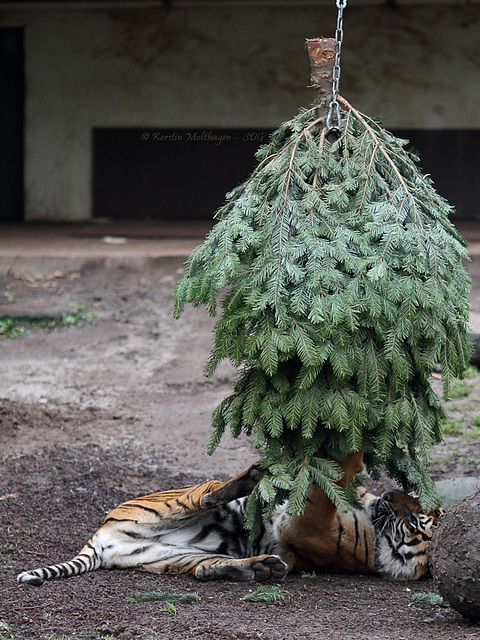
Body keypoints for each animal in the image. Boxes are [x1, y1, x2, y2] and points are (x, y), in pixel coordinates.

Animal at [15, 450, 442, 584]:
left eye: (415, 525)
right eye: (420, 511)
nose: (391, 497)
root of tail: (102, 540)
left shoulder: (309, 526)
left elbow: (324, 491)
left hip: (175, 545)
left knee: (206, 507)